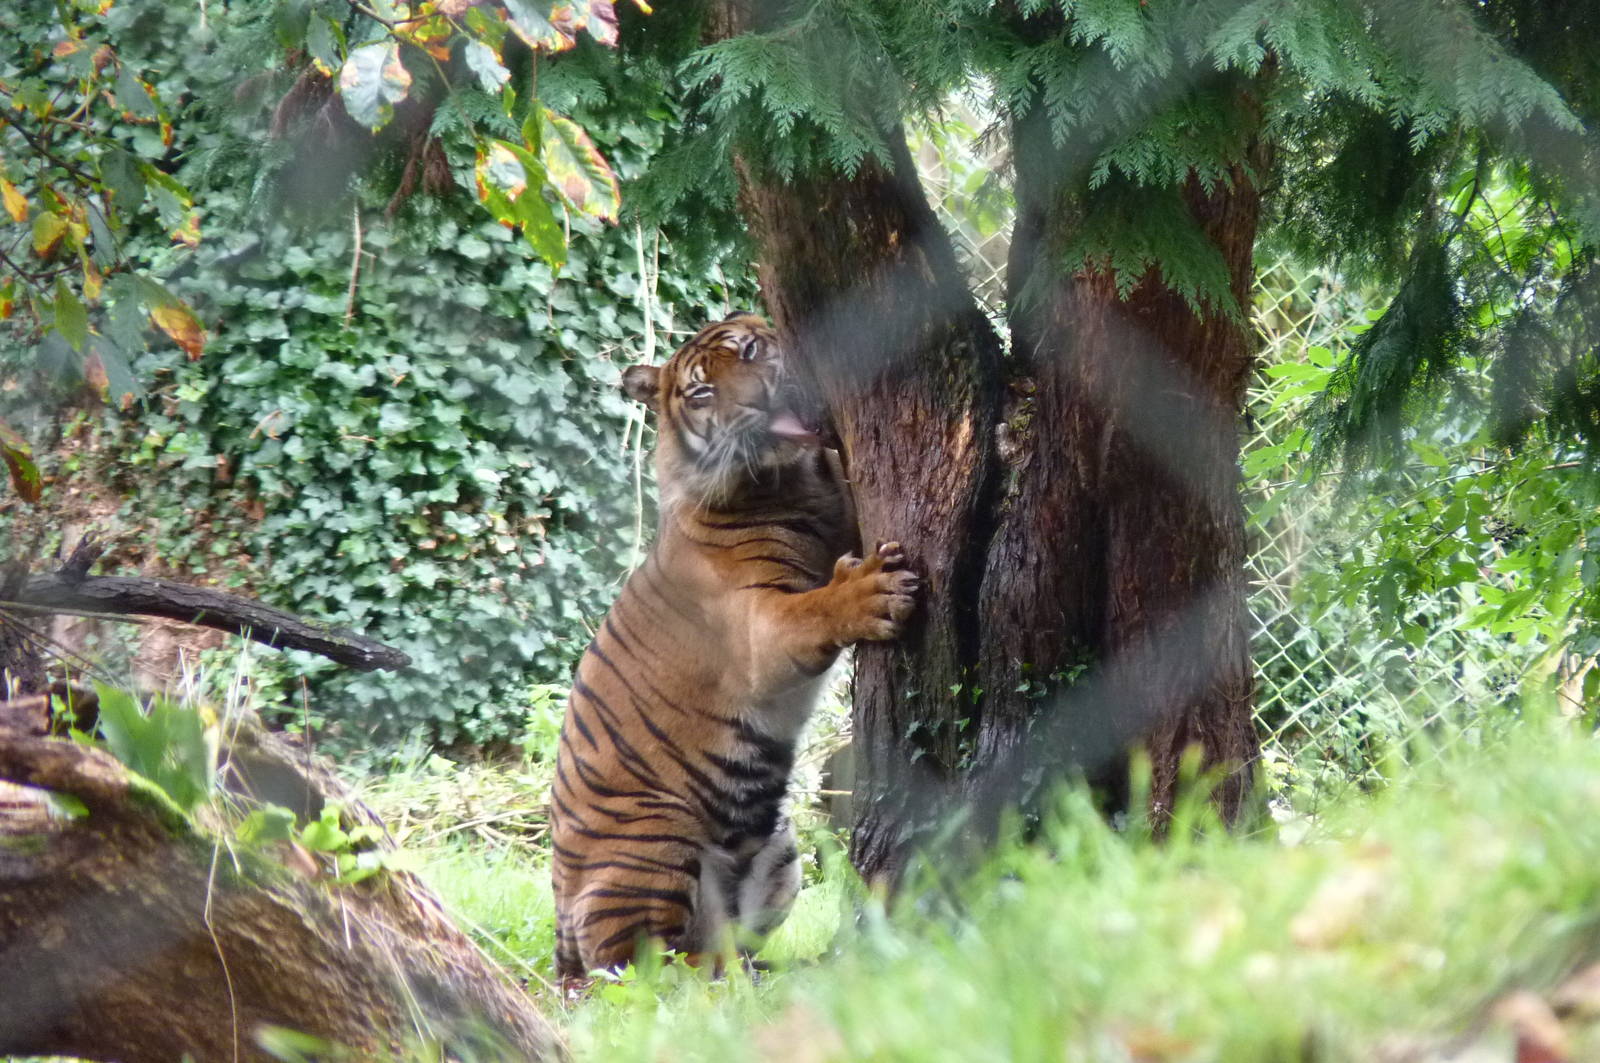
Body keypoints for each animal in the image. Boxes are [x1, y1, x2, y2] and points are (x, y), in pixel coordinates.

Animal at [550, 312, 919, 978]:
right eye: (701, 393)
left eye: (748, 351)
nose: (757, 401)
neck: (794, 477)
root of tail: (557, 924)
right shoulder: (757, 630)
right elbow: (814, 609)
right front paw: (873, 591)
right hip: (656, 836)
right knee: (638, 967)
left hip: (780, 853)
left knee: (724, 943)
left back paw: (758, 971)